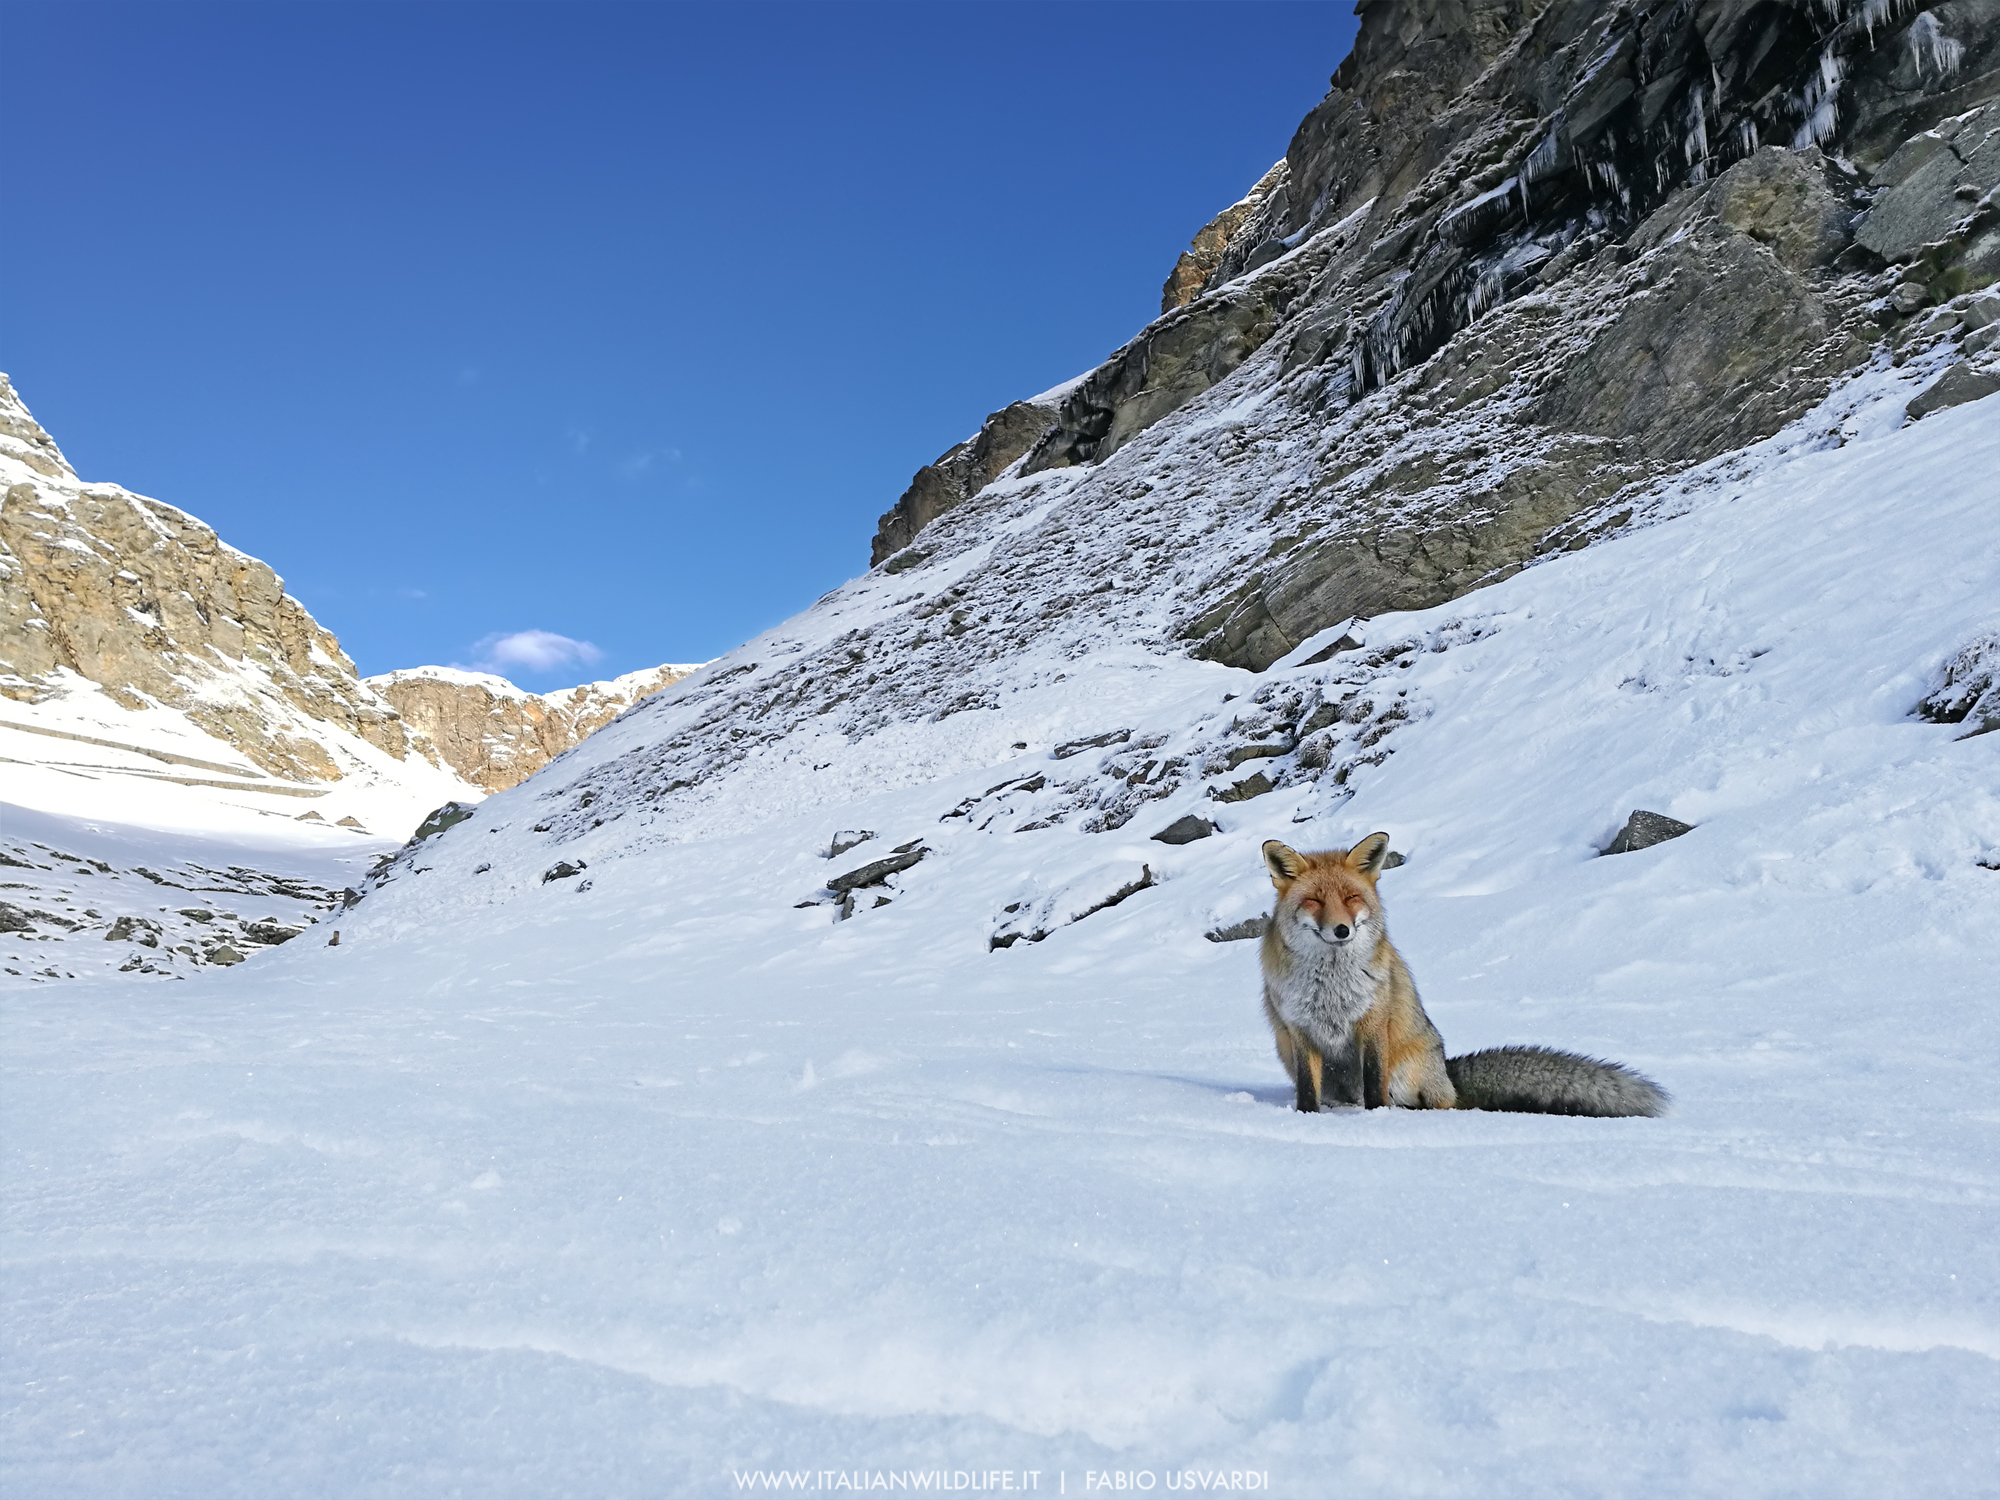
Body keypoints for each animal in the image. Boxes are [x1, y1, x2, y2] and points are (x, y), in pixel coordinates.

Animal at [1260, 833, 1668, 1117]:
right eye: (1314, 901)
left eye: (1350, 898)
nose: (1342, 931)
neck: (1332, 985)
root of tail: (1447, 1072)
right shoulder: (1298, 1028)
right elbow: (1307, 1090)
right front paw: (1306, 1118)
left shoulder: (1373, 1022)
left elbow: (1374, 1082)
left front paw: (1378, 1120)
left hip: (1408, 1071)